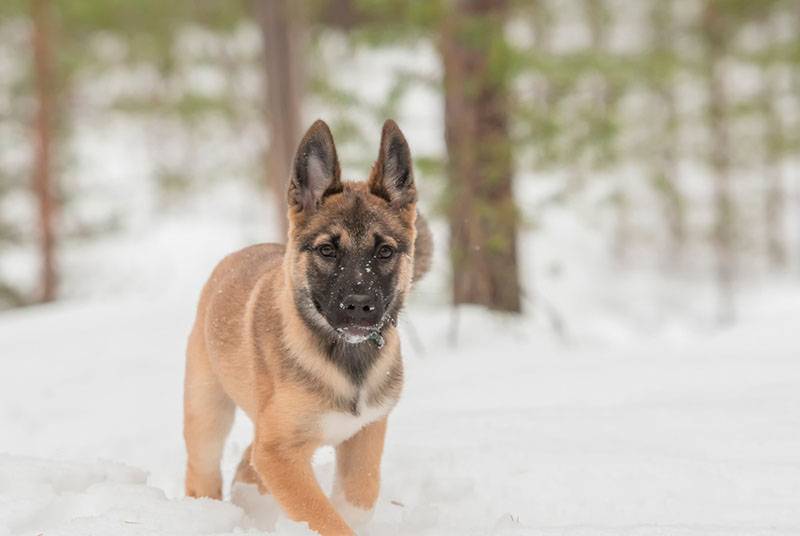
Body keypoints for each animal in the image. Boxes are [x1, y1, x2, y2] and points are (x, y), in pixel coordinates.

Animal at [183, 119, 432, 532]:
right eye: (327, 250)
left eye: (385, 251)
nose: (359, 307)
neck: (344, 359)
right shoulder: (279, 451)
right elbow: (324, 517)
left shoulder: (366, 432)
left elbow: (358, 497)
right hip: (207, 409)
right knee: (203, 471)